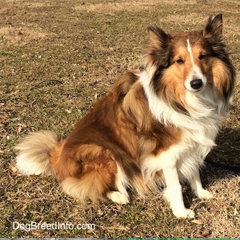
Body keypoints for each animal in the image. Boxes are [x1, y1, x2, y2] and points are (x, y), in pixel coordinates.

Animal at [15, 14, 235, 218]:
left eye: (203, 56)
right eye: (179, 61)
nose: (196, 83)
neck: (182, 100)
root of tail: (57, 155)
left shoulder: (193, 141)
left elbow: (195, 172)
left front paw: (201, 192)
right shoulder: (167, 154)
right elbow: (176, 186)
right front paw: (181, 212)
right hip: (105, 153)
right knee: (88, 187)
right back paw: (118, 195)